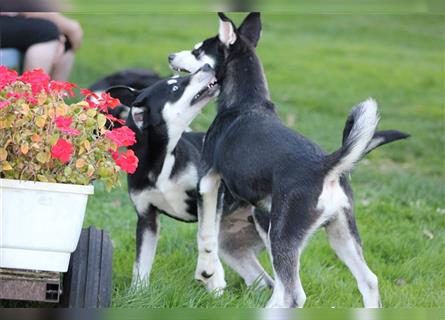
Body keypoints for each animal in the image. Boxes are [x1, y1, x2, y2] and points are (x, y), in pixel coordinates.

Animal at [109, 65, 272, 290]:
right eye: (175, 87)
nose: (207, 67)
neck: (161, 161)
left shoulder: (211, 194)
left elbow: (205, 234)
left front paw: (213, 277)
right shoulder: (146, 217)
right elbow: (141, 263)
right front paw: (137, 292)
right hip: (233, 244)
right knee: (264, 281)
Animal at [168, 12, 408, 308]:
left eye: (198, 51)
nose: (170, 56)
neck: (246, 103)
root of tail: (325, 167)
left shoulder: (208, 180)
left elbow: (206, 233)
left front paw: (207, 271)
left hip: (283, 236)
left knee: (293, 294)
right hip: (340, 234)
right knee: (368, 281)